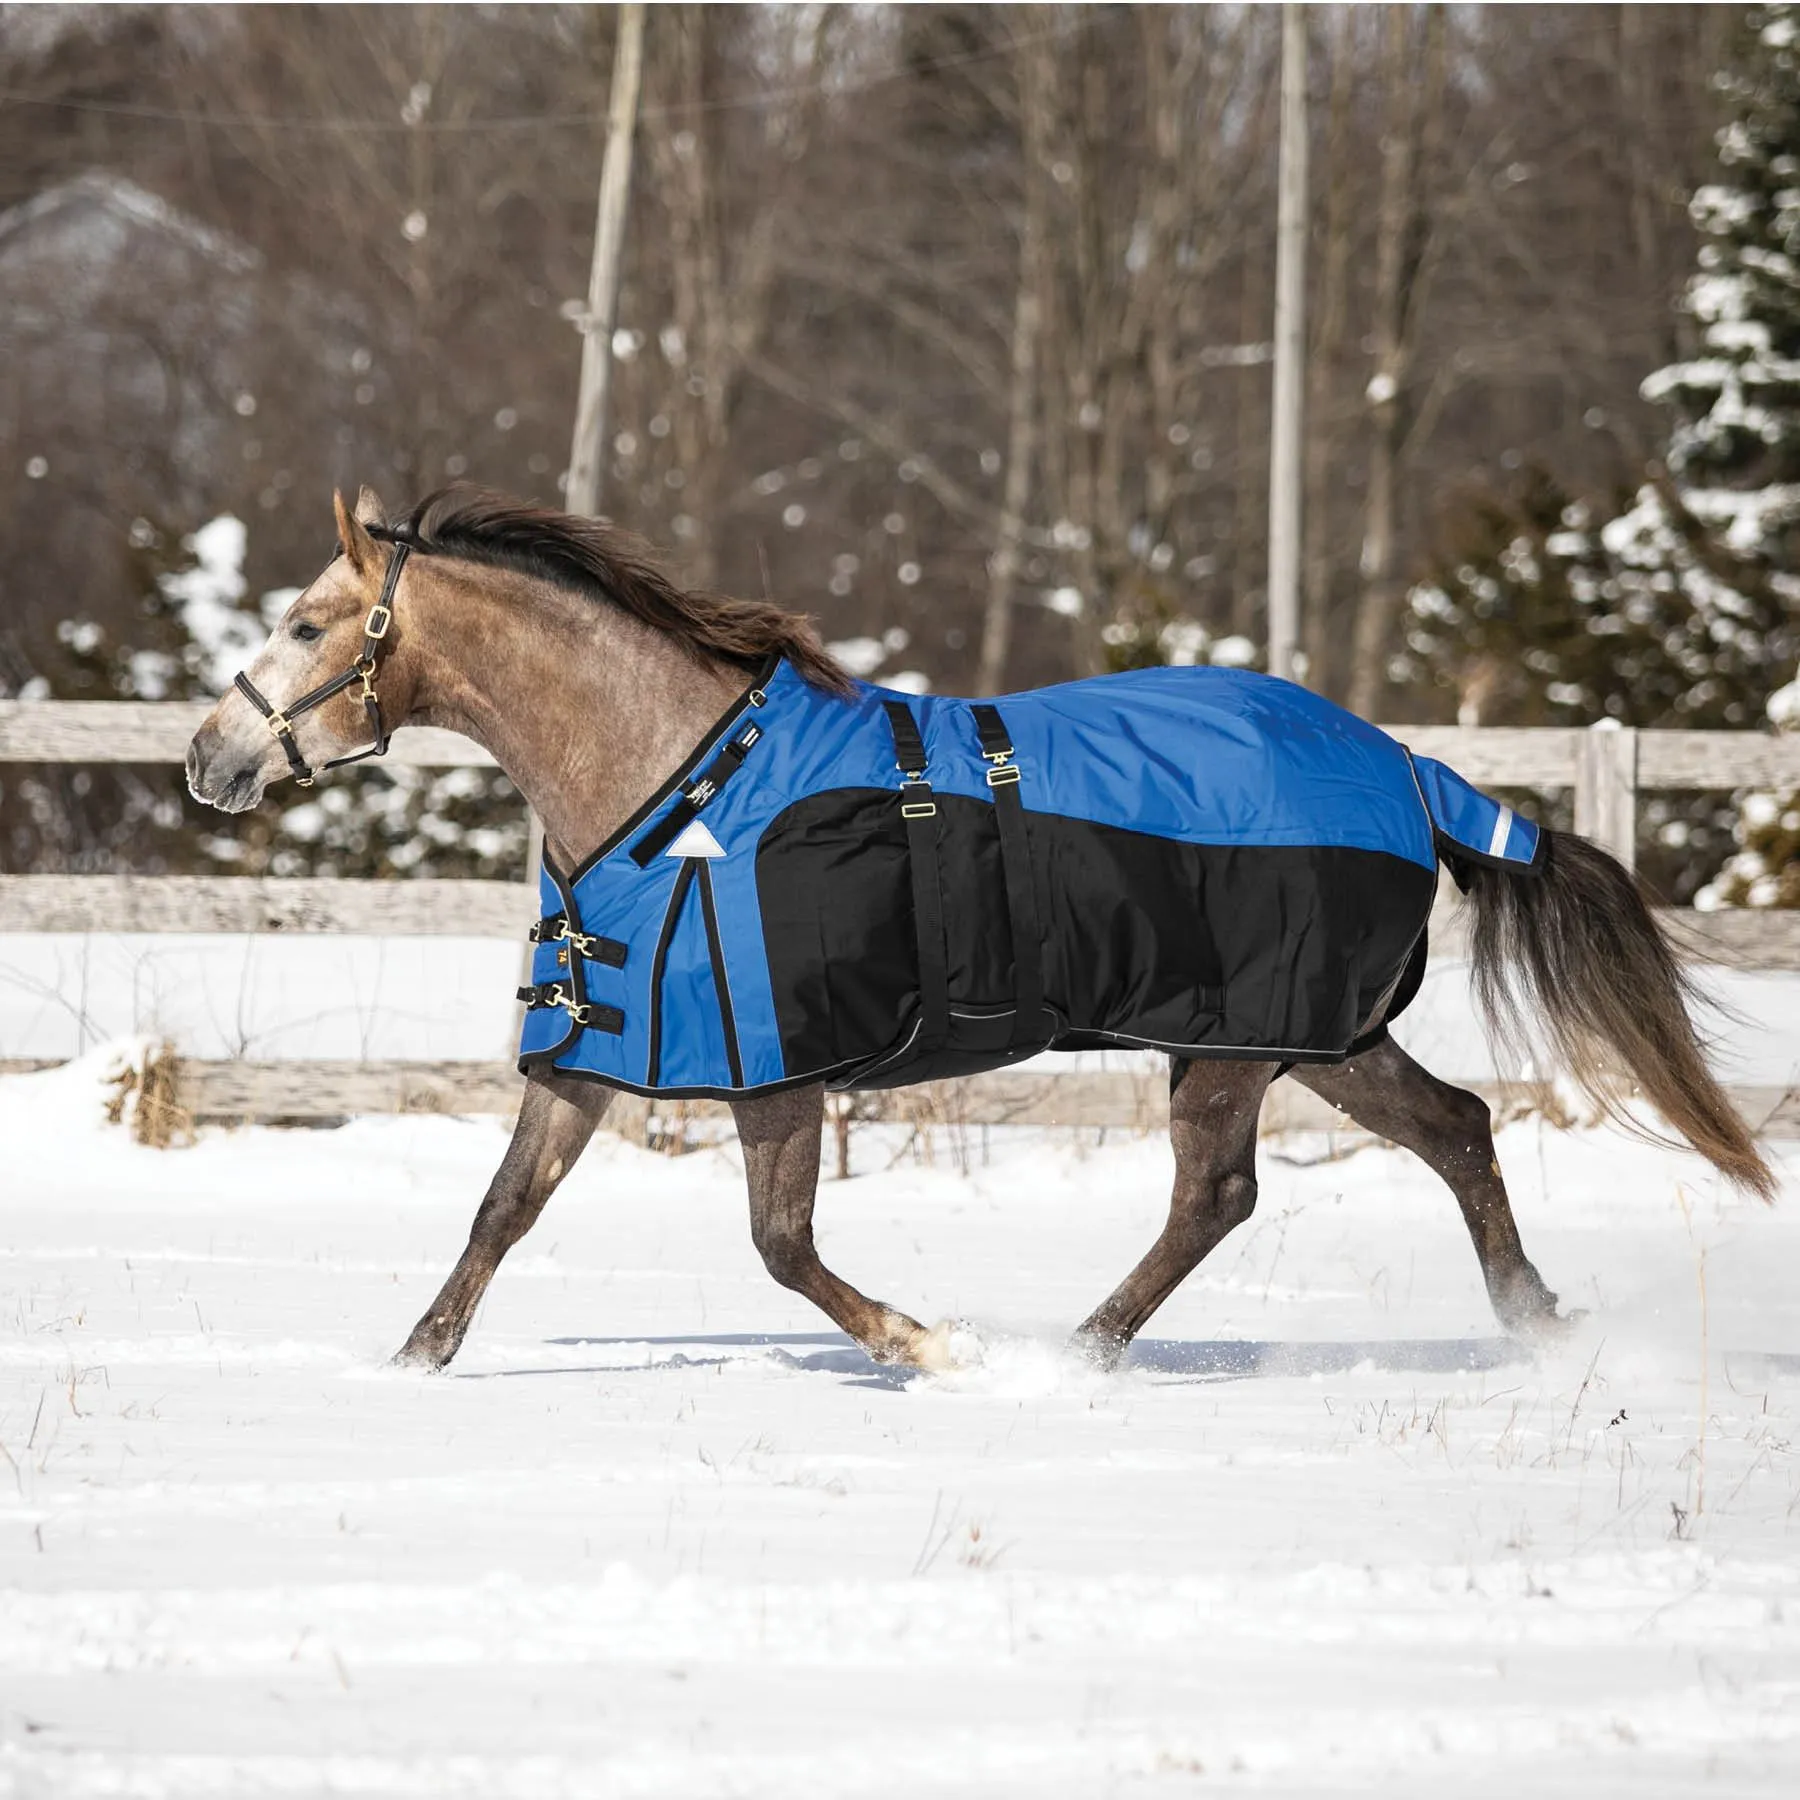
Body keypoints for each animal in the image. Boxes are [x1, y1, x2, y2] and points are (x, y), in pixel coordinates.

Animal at [186, 486, 1774, 1373]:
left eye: (313, 626)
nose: (209, 758)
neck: (683, 786)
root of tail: (1409, 769)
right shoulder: (602, 1046)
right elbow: (501, 1215)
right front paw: (411, 1368)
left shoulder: (779, 1067)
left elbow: (781, 1249)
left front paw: (930, 1347)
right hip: (1315, 1038)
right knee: (1455, 1131)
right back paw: (1533, 1322)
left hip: (1236, 1046)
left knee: (1220, 1197)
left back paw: (1075, 1353)